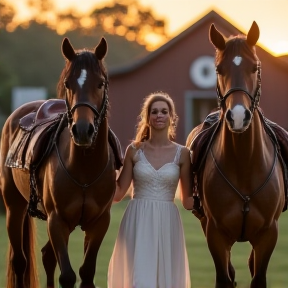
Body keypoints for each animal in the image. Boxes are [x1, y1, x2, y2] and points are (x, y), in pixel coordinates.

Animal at [0, 37, 117, 286]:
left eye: (101, 83)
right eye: (68, 83)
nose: (82, 130)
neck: (84, 169)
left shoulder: (99, 223)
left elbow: (86, 273)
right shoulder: (57, 220)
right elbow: (68, 275)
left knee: (47, 255)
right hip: (14, 207)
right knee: (20, 262)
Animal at [187, 22, 286, 288]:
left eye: (255, 67)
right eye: (218, 69)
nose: (239, 116)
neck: (245, 164)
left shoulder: (268, 234)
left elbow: (257, 277)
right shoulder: (216, 234)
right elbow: (225, 278)